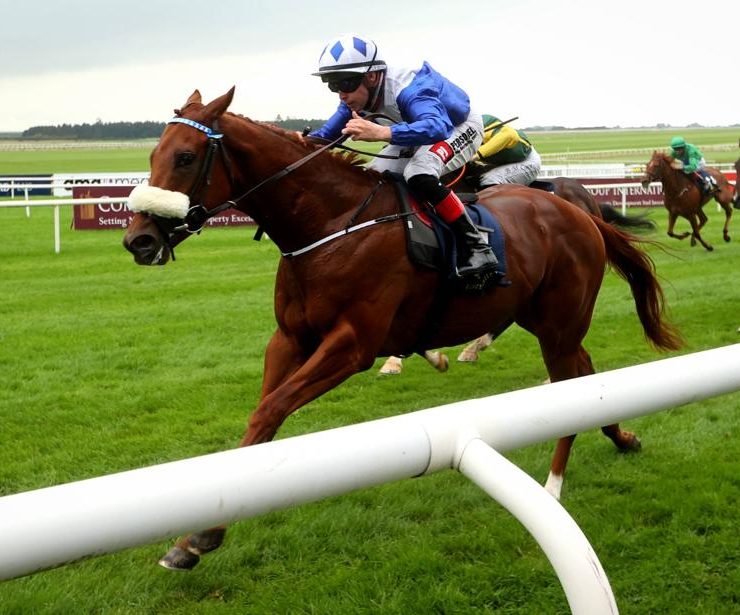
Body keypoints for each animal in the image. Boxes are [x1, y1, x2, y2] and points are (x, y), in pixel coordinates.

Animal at [122, 87, 683, 571]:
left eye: (186, 157)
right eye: (154, 153)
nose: (138, 240)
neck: (330, 224)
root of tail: (577, 210)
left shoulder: (352, 345)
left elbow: (271, 409)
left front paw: (201, 536)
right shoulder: (289, 340)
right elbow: (261, 419)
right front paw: (195, 537)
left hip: (558, 324)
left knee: (570, 385)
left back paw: (553, 485)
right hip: (549, 323)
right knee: (586, 377)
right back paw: (621, 438)